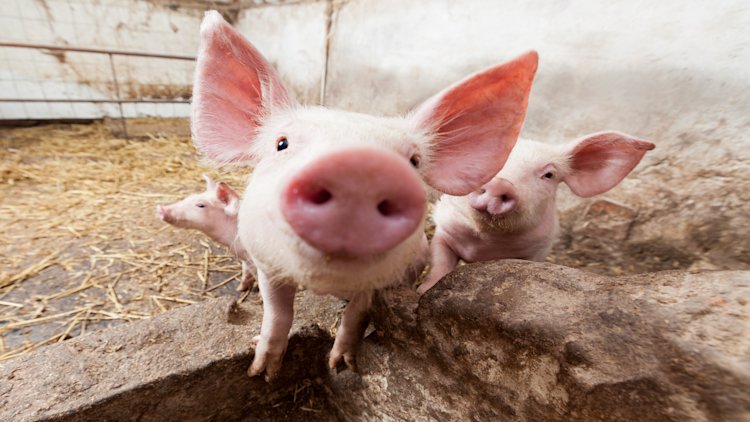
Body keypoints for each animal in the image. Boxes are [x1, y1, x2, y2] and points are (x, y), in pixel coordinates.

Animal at [191, 11, 538, 379]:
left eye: (414, 161)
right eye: (281, 143)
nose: (360, 166)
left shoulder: (382, 283)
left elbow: (355, 315)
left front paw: (341, 366)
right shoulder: (266, 264)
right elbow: (278, 313)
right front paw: (262, 372)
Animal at [417, 133, 655, 294]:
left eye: (548, 175)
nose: (500, 184)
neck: (485, 243)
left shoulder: (538, 251)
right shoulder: (445, 231)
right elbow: (440, 263)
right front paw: (423, 290)